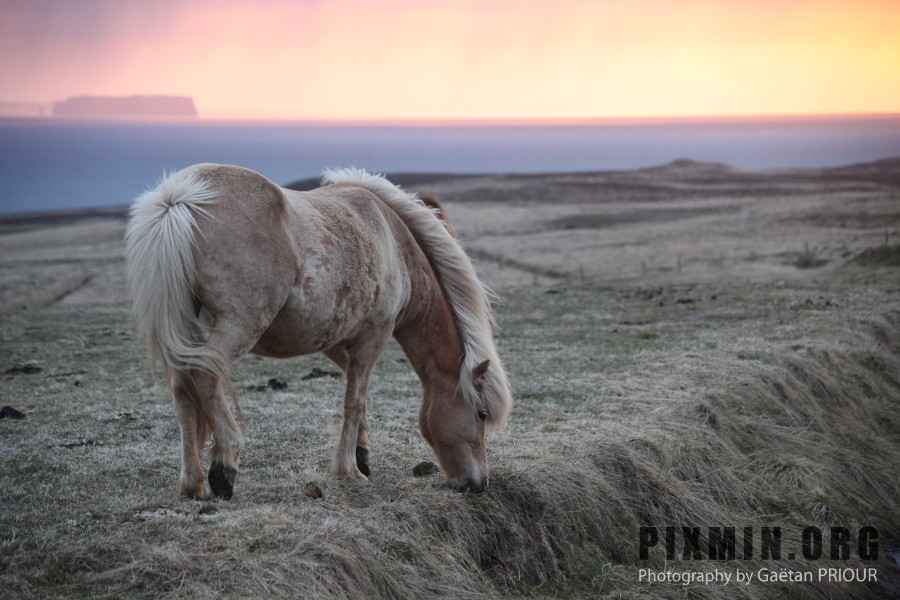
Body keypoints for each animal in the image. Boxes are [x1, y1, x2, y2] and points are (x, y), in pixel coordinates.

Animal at [125, 162, 512, 500]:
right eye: (480, 414)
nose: (478, 483)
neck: (395, 240)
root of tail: (181, 197)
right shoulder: (373, 335)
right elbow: (354, 400)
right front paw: (350, 471)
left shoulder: (337, 341)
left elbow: (358, 394)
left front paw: (362, 456)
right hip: (239, 324)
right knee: (205, 374)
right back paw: (225, 466)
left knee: (183, 390)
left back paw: (194, 484)